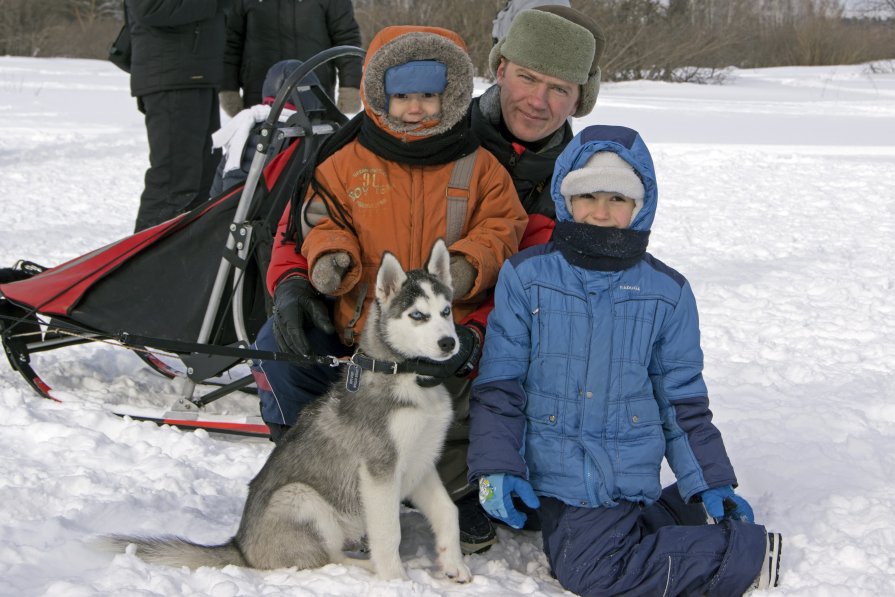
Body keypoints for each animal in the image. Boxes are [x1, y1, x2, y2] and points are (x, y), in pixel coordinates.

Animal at [109, 239, 472, 584]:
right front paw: (396, 580)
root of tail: (240, 547)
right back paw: (366, 566)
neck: (406, 375)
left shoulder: (421, 462)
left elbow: (448, 511)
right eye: (417, 316)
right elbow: (389, 533)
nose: (450, 344)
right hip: (300, 498)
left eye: (446, 311)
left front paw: (454, 565)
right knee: (327, 558)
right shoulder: (380, 470)